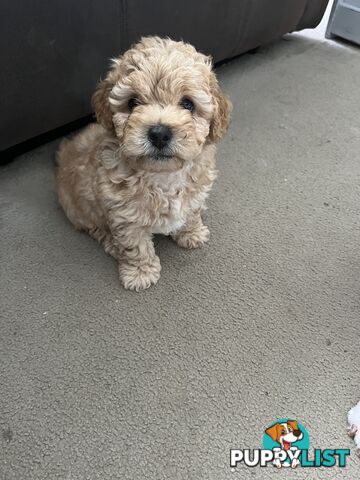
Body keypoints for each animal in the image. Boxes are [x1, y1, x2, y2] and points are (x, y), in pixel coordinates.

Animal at [56, 35, 231, 290]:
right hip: (79, 210)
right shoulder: (125, 217)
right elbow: (135, 246)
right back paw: (111, 244)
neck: (162, 176)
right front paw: (140, 273)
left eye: (188, 104)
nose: (159, 133)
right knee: (96, 229)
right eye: (132, 102)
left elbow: (191, 212)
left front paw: (192, 233)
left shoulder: (195, 191)